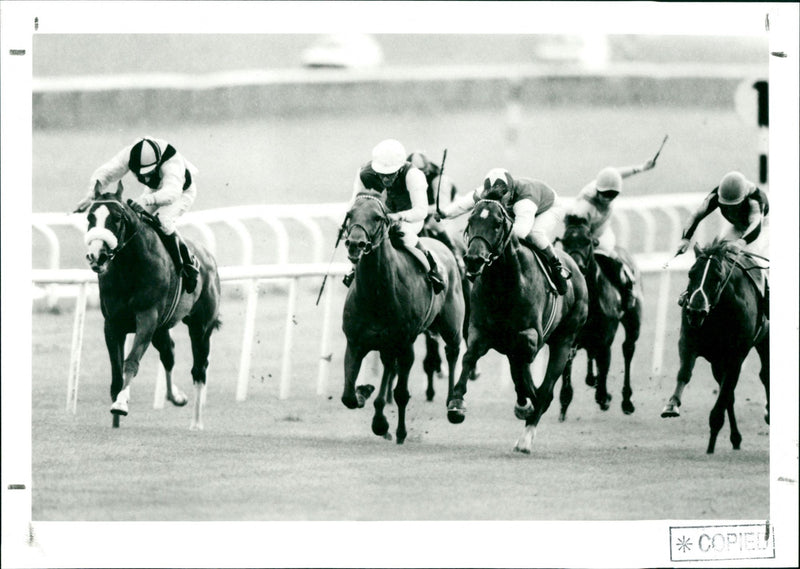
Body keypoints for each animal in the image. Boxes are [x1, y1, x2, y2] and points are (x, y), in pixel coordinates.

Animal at [83, 181, 222, 426]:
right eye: (91, 217)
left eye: (116, 218)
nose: (96, 255)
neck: (129, 269)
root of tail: (208, 258)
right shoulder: (113, 324)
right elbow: (116, 373)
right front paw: (115, 419)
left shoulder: (147, 318)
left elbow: (131, 362)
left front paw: (120, 405)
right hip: (161, 328)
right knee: (169, 354)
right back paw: (176, 397)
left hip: (201, 326)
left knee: (199, 369)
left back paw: (196, 422)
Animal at [338, 191, 462, 444]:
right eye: (350, 214)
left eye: (377, 217)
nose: (355, 244)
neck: (377, 294)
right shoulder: (355, 342)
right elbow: (348, 396)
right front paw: (365, 395)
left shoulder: (405, 343)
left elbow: (402, 393)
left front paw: (400, 431)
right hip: (387, 344)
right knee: (388, 367)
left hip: (451, 323)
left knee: (453, 351)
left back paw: (453, 405)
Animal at [446, 199, 592, 452]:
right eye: (470, 220)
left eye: (496, 224)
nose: (473, 259)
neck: (503, 283)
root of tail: (576, 270)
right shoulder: (479, 330)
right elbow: (470, 356)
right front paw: (456, 403)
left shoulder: (530, 336)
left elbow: (524, 362)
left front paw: (529, 404)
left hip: (564, 340)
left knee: (546, 387)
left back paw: (526, 437)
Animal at [556, 213, 644, 418]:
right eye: (565, 240)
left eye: (587, 240)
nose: (577, 265)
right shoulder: (570, 335)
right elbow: (567, 366)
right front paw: (564, 400)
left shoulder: (605, 338)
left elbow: (604, 365)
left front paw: (604, 397)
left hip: (633, 321)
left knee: (628, 349)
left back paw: (626, 400)